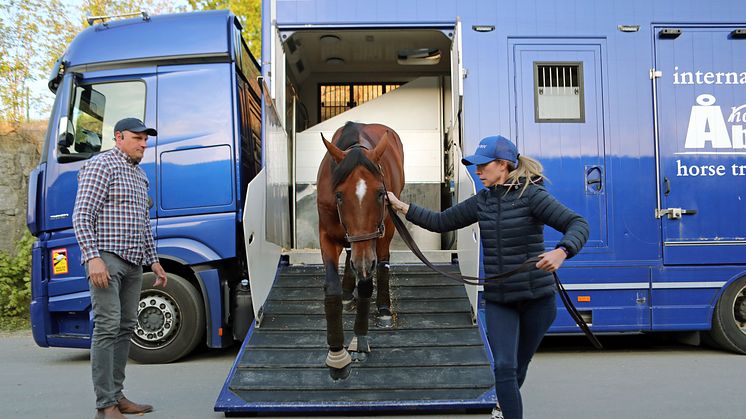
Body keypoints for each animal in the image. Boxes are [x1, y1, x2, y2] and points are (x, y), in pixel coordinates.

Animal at [316, 121, 404, 380]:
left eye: (380, 193)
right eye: (338, 195)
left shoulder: (373, 240)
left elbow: (366, 282)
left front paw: (361, 340)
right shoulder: (326, 235)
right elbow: (332, 286)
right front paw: (337, 355)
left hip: (387, 229)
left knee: (383, 261)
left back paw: (384, 308)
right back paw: (348, 293)